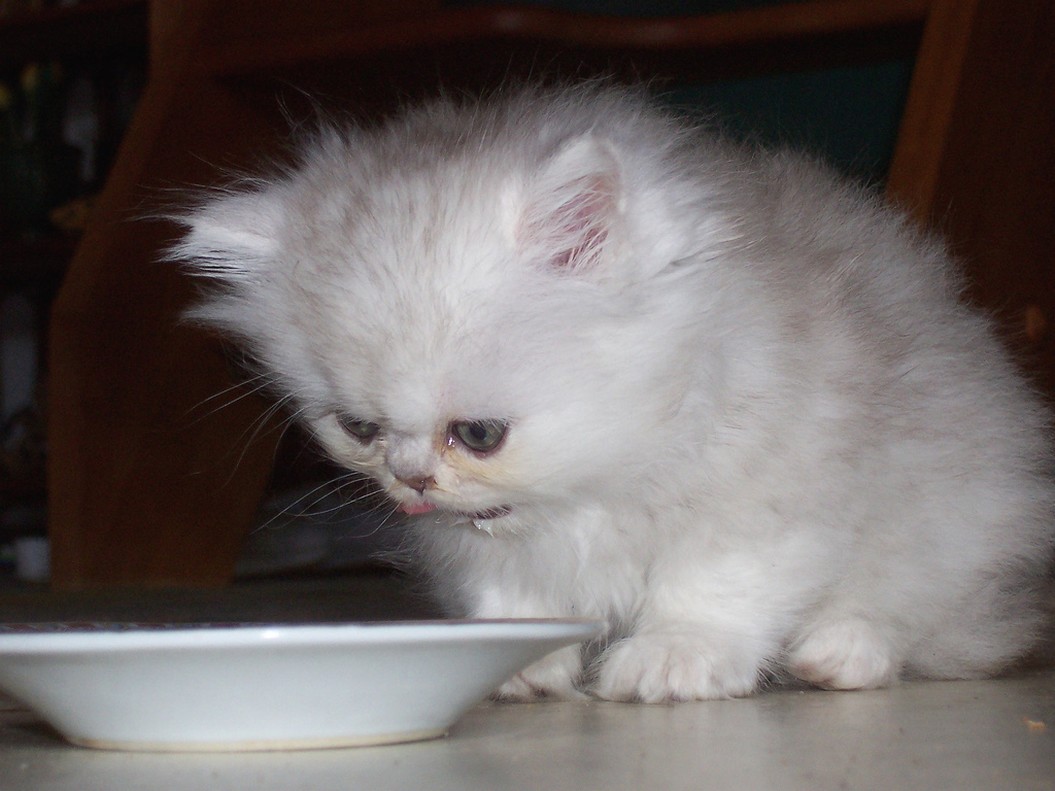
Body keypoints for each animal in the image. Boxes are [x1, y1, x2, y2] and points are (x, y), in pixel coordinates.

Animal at [168, 86, 1050, 704]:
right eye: (359, 428)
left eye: (478, 434)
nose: (412, 481)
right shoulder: (492, 549)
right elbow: (515, 596)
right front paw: (522, 658)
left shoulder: (772, 494)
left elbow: (710, 588)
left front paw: (674, 658)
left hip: (958, 511)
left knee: (920, 613)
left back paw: (837, 653)